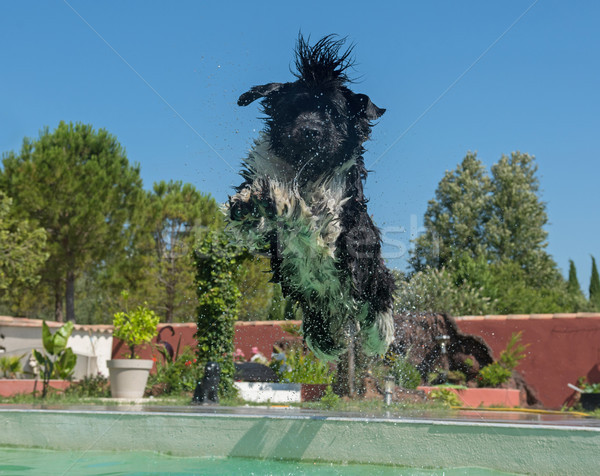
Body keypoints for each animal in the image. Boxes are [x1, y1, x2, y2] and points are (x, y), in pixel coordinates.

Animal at [227, 35, 396, 358]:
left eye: (332, 113)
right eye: (294, 109)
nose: (309, 130)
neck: (306, 174)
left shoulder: (334, 223)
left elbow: (303, 211)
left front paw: (277, 200)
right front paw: (252, 203)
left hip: (368, 274)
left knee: (377, 302)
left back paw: (378, 334)